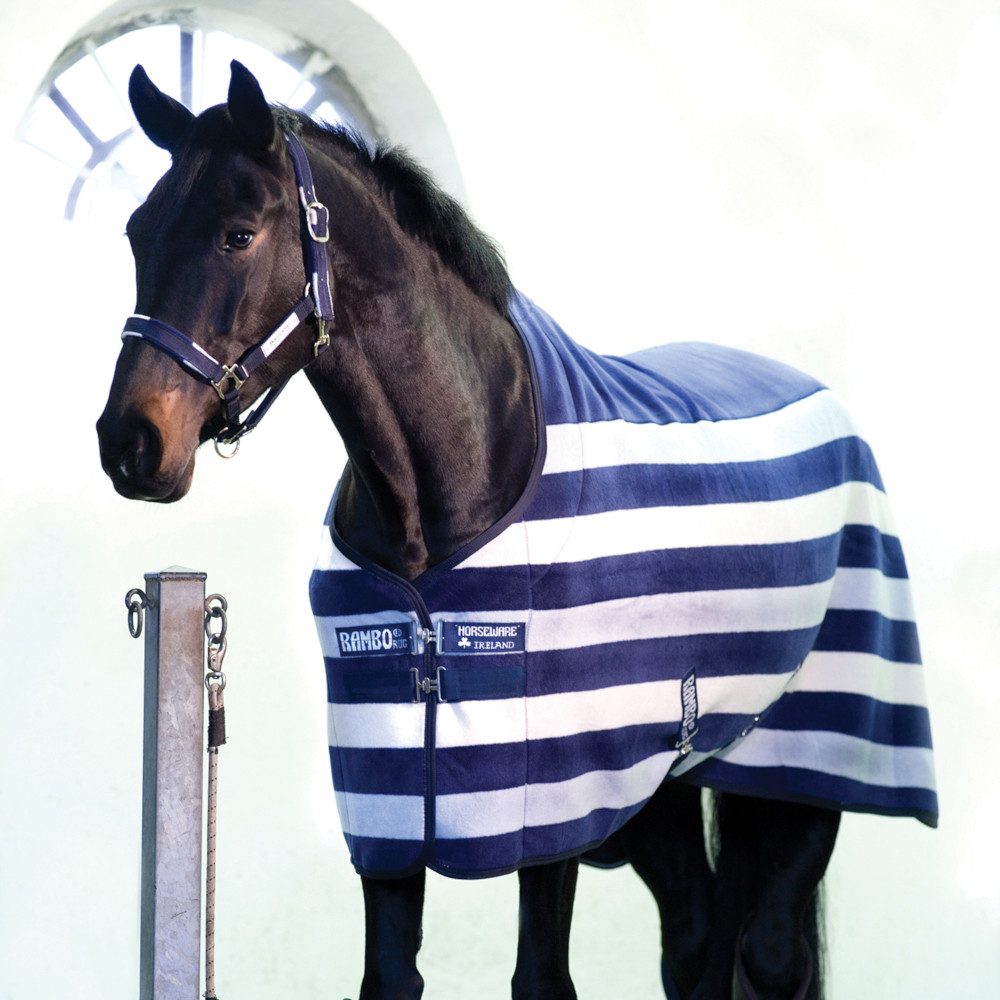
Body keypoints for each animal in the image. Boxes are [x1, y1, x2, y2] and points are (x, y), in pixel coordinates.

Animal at [96, 61, 937, 1000]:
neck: (447, 490)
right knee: (696, 937)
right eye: (137, 233)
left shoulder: (554, 802)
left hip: (803, 768)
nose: (130, 443)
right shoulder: (390, 806)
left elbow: (541, 976)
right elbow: (390, 974)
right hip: (665, 793)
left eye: (238, 235)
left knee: (770, 949)